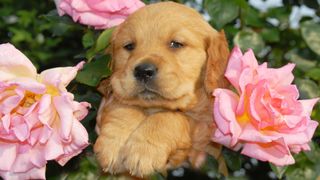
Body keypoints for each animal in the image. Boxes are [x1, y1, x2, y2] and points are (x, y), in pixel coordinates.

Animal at [94, 1, 229, 177]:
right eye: (129, 46)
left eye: (176, 44)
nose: (143, 71)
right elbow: (123, 107)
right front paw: (114, 146)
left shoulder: (205, 124)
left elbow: (171, 117)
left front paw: (144, 152)